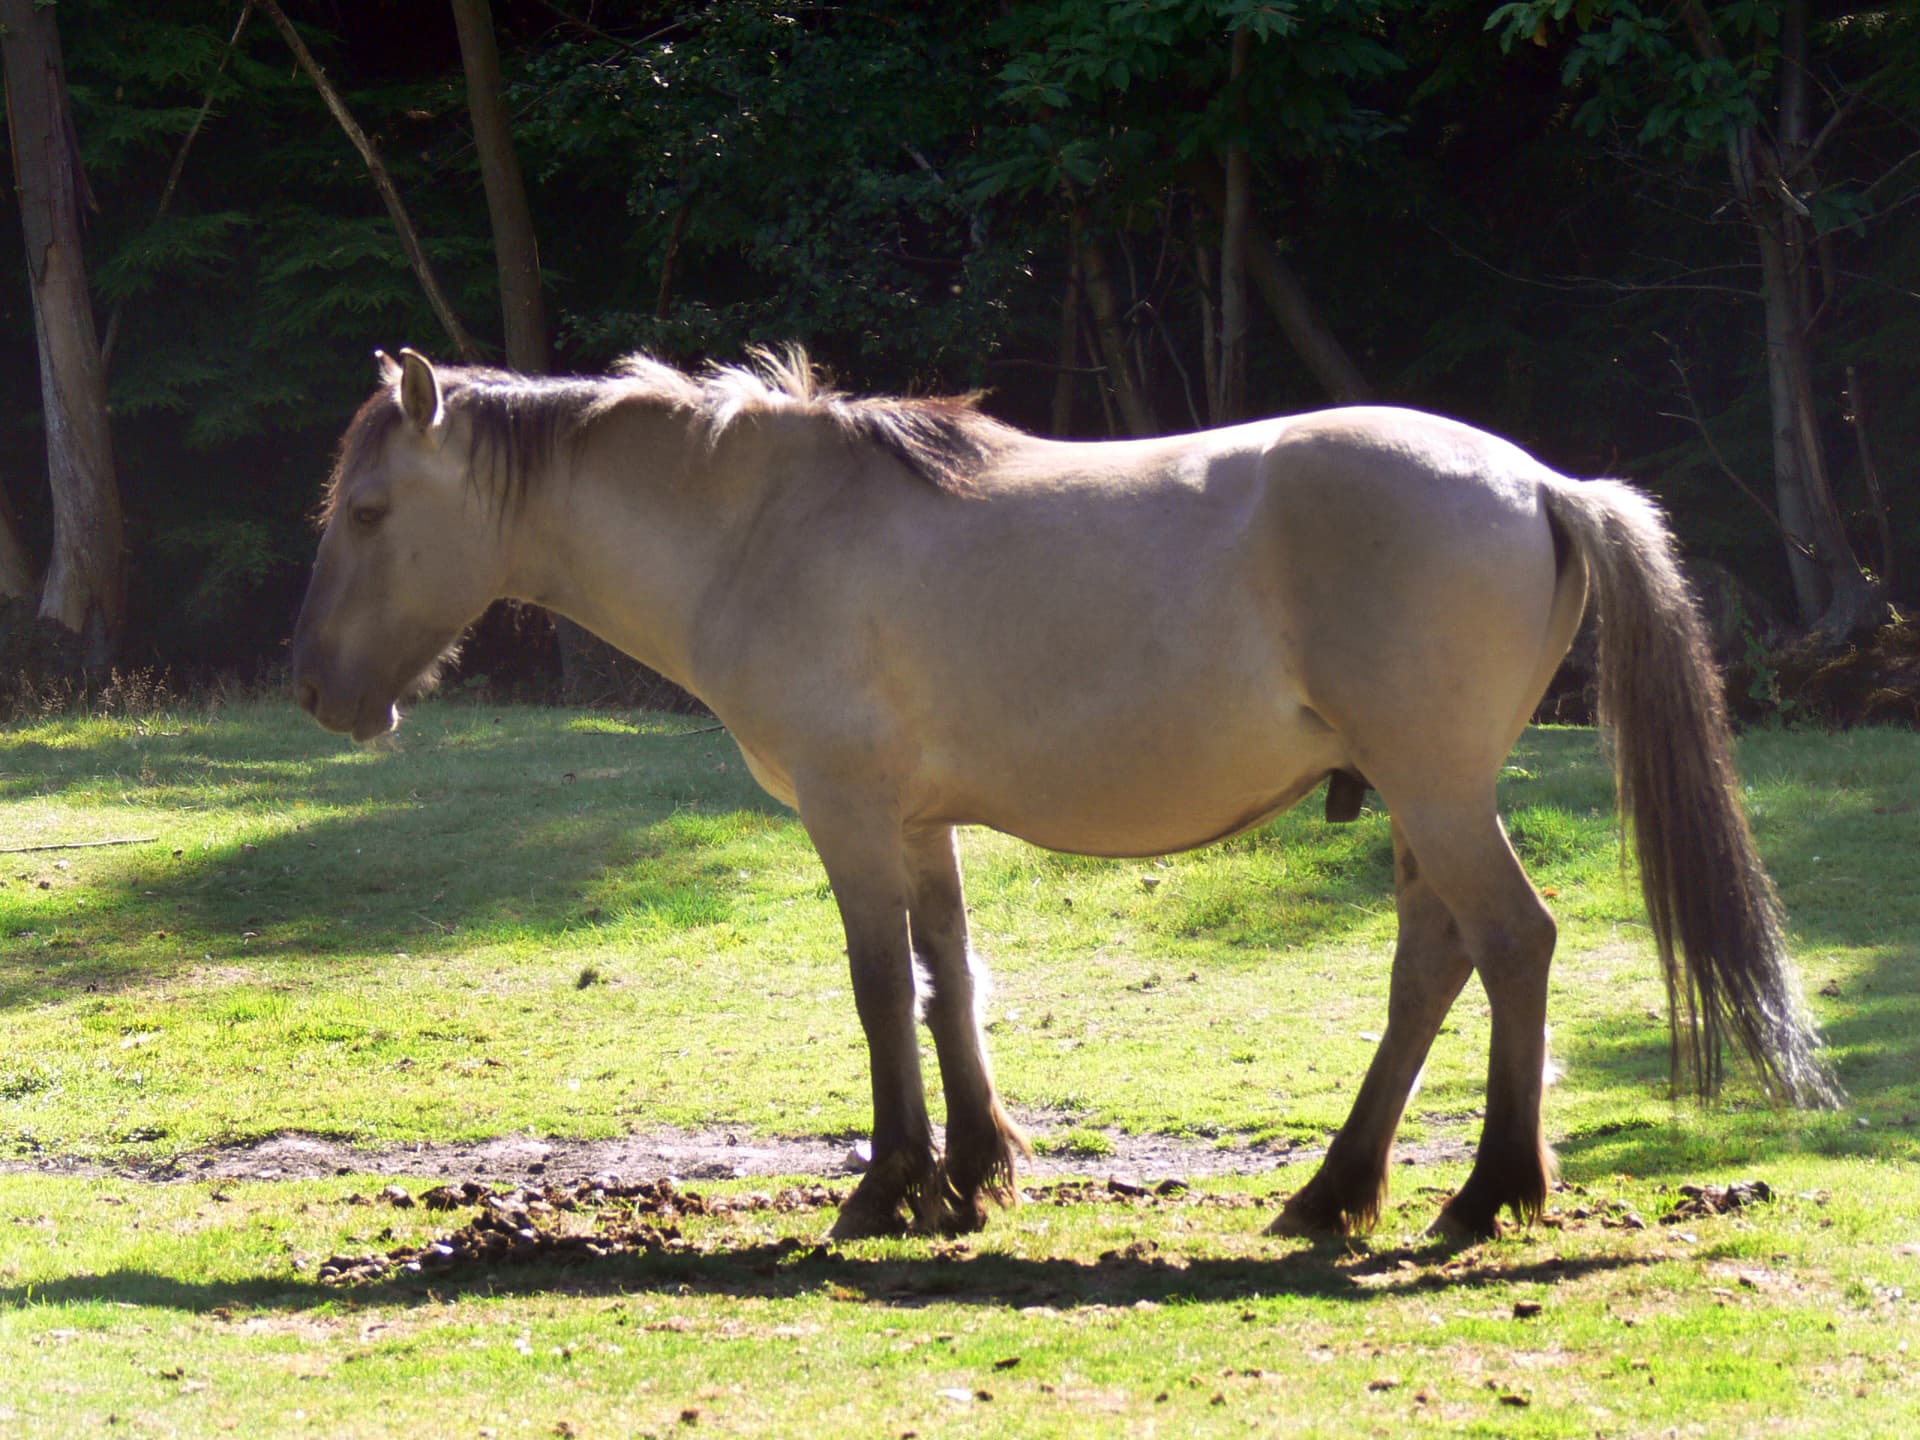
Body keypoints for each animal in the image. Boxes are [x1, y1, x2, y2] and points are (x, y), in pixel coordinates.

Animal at [291, 346, 1836, 1242]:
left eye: (368, 511)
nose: (318, 692)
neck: (763, 526)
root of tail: (1542, 483)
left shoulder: (849, 819)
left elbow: (879, 992)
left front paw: (887, 1187)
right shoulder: (918, 826)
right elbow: (948, 985)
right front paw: (976, 1173)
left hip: (1438, 792)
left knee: (1512, 943)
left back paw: (1492, 1187)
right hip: (1419, 803)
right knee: (1434, 965)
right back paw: (1336, 1189)